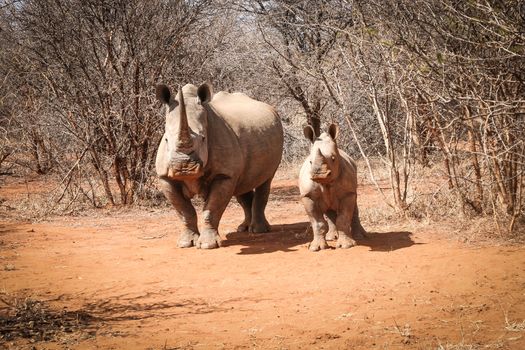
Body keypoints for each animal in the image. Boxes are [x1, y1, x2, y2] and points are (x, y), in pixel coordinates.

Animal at [154, 82, 282, 249]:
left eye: (203, 138)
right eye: (166, 140)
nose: (183, 168)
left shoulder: (224, 174)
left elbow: (212, 208)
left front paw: (207, 245)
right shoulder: (165, 177)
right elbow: (184, 211)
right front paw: (185, 243)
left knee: (265, 180)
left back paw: (258, 230)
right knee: (242, 185)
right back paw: (243, 228)